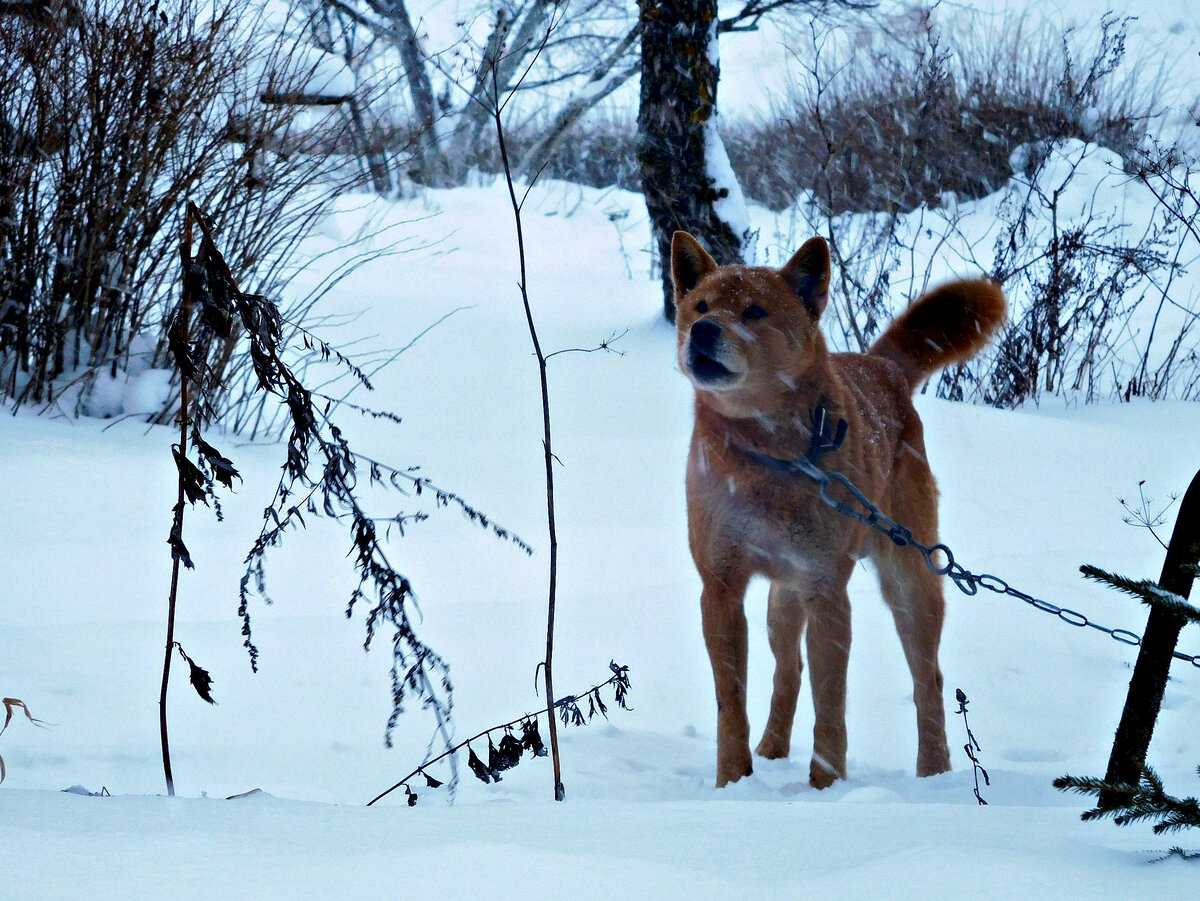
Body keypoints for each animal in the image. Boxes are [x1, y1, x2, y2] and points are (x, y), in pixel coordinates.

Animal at [676, 232, 1003, 787]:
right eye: (700, 306)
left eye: (755, 311)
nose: (702, 330)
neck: (770, 457)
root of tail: (883, 368)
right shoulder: (720, 588)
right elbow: (731, 703)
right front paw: (733, 783)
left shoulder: (827, 590)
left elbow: (831, 707)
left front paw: (825, 788)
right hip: (782, 602)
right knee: (789, 671)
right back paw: (771, 750)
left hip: (909, 582)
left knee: (929, 680)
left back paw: (934, 771)